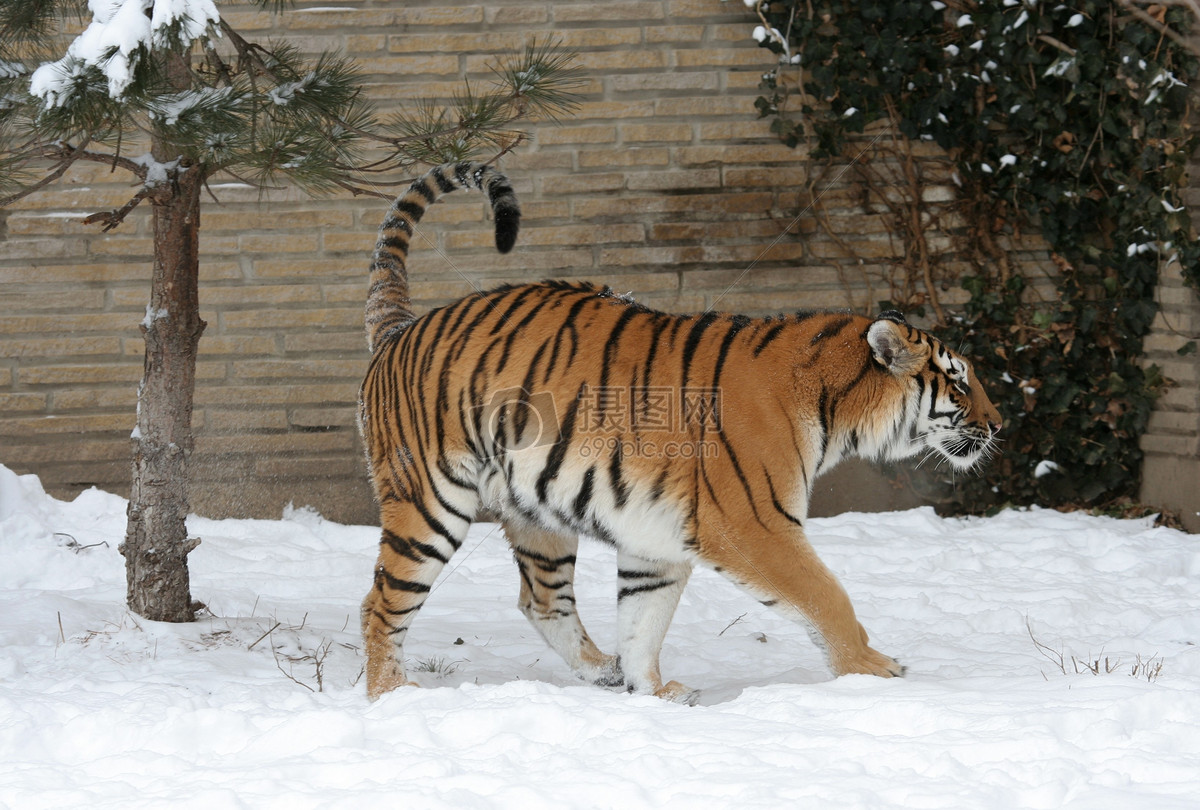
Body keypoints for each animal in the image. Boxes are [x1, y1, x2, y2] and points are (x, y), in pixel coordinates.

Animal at [357, 159, 1003, 705]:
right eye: (958, 380)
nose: (1000, 423)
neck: (834, 408)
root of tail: (400, 329)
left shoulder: (656, 537)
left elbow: (644, 620)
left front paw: (651, 691)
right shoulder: (756, 523)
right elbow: (826, 595)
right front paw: (871, 671)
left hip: (535, 511)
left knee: (542, 600)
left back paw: (603, 670)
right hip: (429, 501)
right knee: (381, 602)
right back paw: (392, 696)